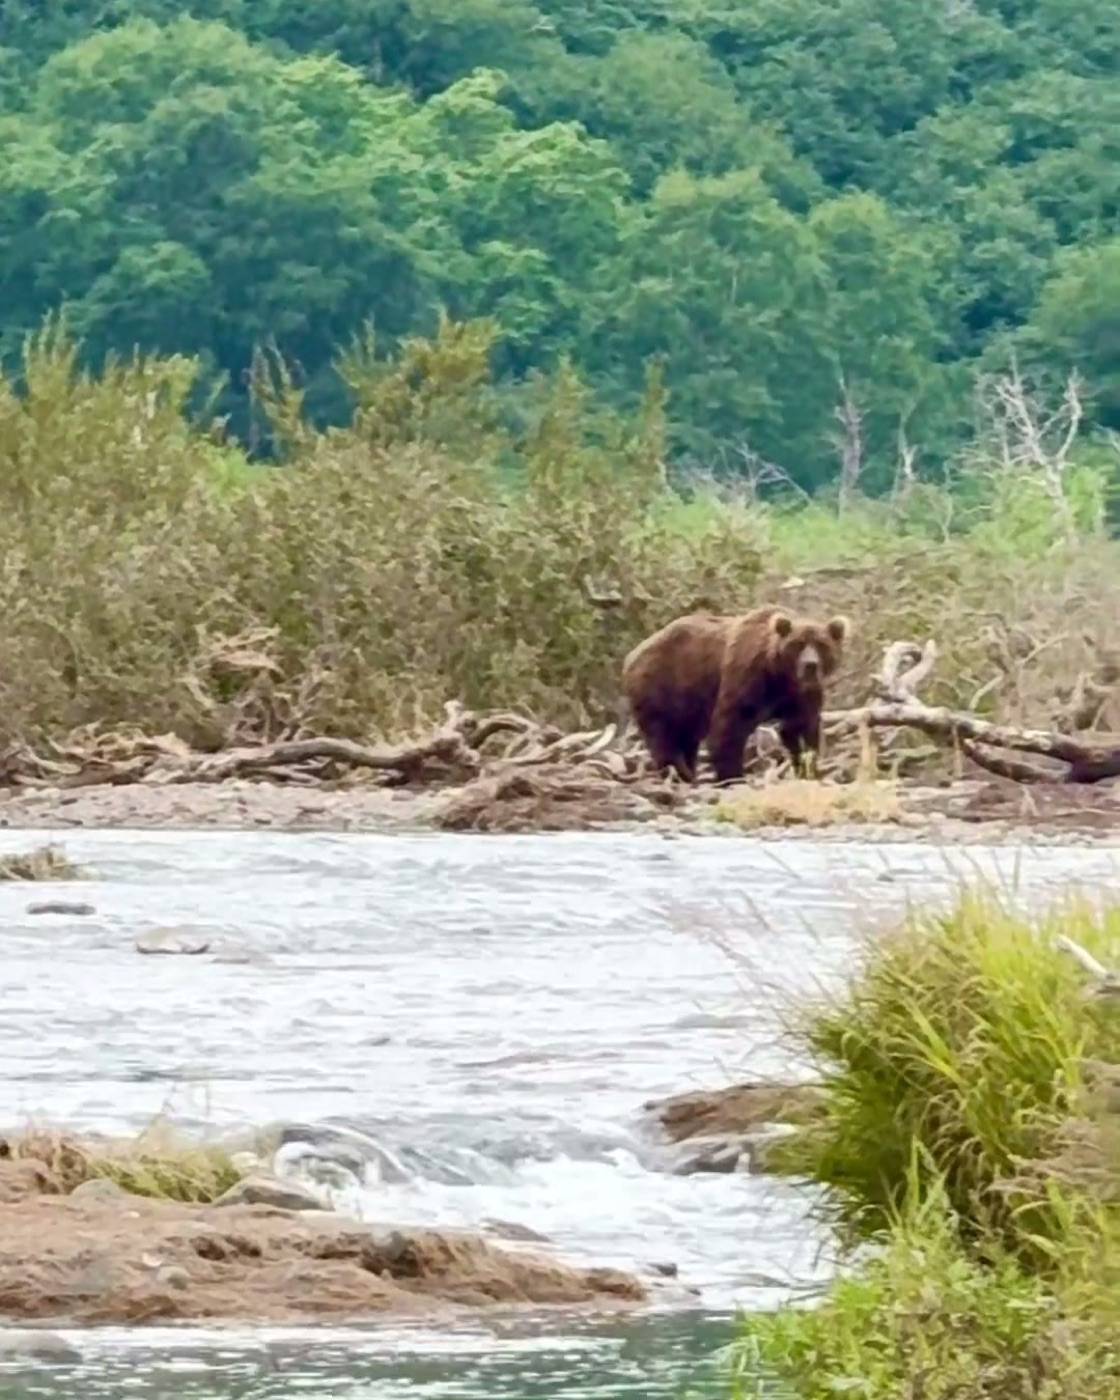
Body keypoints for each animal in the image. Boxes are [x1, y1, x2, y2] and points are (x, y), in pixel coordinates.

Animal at [621, 606, 850, 783]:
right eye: (798, 644)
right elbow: (730, 724)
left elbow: (801, 728)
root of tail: (632, 655)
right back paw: (679, 773)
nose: (810, 665)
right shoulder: (747, 674)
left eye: (822, 645)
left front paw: (807, 768)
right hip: (660, 685)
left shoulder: (801, 693)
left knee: (686, 737)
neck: (779, 675)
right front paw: (732, 775)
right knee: (663, 734)